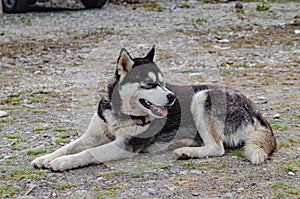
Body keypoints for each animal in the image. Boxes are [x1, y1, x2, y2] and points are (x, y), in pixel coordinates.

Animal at [31, 46, 276, 171]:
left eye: (163, 83)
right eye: (149, 84)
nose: (172, 97)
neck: (120, 113)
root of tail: (257, 112)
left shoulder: (124, 145)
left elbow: (87, 153)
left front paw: (62, 163)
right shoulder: (92, 136)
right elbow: (69, 146)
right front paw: (47, 157)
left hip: (202, 96)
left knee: (217, 148)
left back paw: (187, 151)